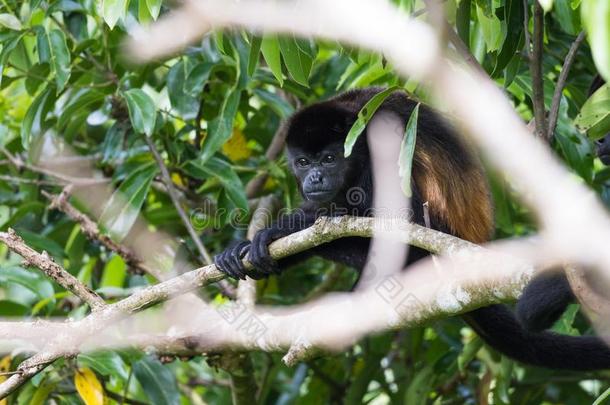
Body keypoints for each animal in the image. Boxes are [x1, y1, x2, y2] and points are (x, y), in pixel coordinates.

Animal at [213, 87, 608, 370]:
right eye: (304, 161)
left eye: (329, 158)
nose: (314, 178)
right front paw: (248, 247)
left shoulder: (378, 141)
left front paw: (271, 234)